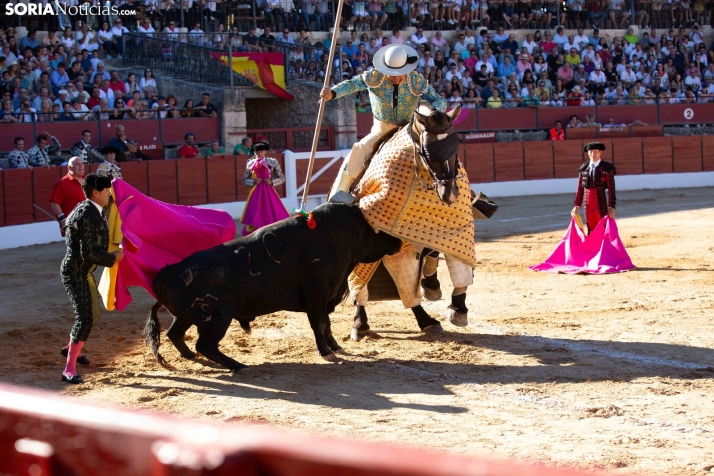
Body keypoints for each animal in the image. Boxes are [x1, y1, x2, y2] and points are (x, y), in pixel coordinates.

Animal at [145, 203, 400, 370]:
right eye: (377, 229)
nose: (398, 241)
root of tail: (168, 272)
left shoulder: (327, 296)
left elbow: (326, 325)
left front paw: (335, 347)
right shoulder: (317, 295)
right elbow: (319, 324)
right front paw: (326, 352)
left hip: (186, 316)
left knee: (175, 334)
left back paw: (192, 357)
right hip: (217, 317)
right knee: (205, 344)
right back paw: (238, 365)